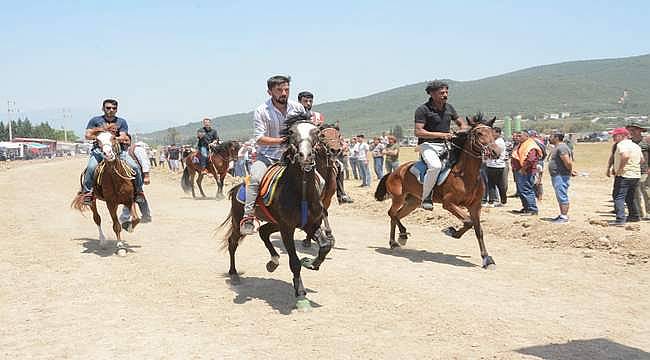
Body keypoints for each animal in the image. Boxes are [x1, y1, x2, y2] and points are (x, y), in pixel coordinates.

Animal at [70, 124, 140, 256]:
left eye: (114, 138)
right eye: (97, 141)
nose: (108, 154)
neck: (117, 179)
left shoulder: (129, 200)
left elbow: (136, 218)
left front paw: (129, 228)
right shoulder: (110, 203)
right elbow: (116, 225)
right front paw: (120, 247)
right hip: (92, 200)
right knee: (97, 219)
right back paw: (102, 241)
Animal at [374, 114, 496, 268]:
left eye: (493, 133)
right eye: (479, 133)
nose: (496, 152)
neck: (465, 175)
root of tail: (394, 172)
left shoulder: (475, 206)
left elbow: (478, 230)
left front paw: (487, 258)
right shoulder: (449, 203)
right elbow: (468, 222)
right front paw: (451, 231)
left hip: (413, 202)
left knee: (396, 215)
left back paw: (398, 238)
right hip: (398, 198)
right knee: (392, 213)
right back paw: (397, 239)